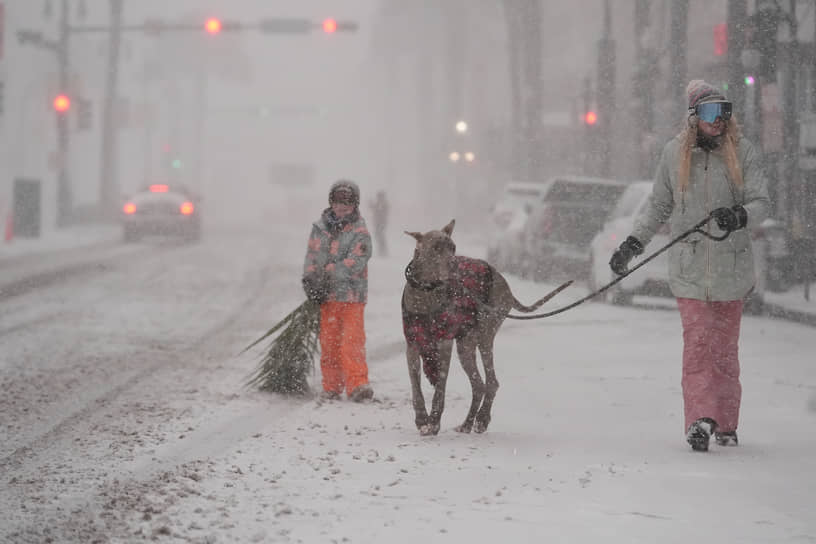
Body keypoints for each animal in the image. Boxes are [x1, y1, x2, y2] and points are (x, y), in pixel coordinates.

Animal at [400, 219, 568, 436]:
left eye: (453, 247)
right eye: (436, 247)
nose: (455, 264)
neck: (426, 293)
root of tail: (505, 283)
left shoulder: (444, 343)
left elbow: (440, 388)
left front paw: (434, 422)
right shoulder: (412, 344)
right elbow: (416, 387)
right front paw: (422, 420)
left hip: (485, 333)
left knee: (492, 382)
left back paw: (481, 419)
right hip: (465, 344)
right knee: (479, 385)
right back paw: (467, 423)